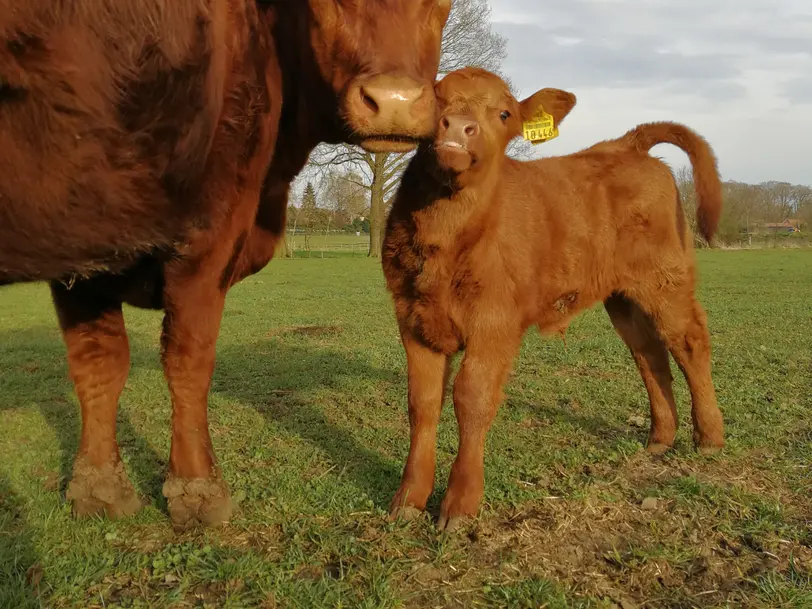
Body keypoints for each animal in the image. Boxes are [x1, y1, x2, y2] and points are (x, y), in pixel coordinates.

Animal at [0, 0, 454, 528]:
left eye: (439, 5)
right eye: (325, 4)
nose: (395, 100)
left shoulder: (87, 254)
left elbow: (99, 364)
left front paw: (99, 489)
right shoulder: (205, 237)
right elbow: (188, 362)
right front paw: (198, 489)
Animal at [384, 69, 728, 528]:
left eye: (504, 113)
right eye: (437, 97)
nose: (457, 127)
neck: (444, 234)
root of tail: (625, 144)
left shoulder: (495, 321)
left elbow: (472, 398)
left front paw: (460, 505)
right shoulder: (412, 317)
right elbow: (422, 404)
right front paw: (408, 499)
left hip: (666, 280)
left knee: (688, 343)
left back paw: (708, 437)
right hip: (623, 297)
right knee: (649, 353)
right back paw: (660, 437)